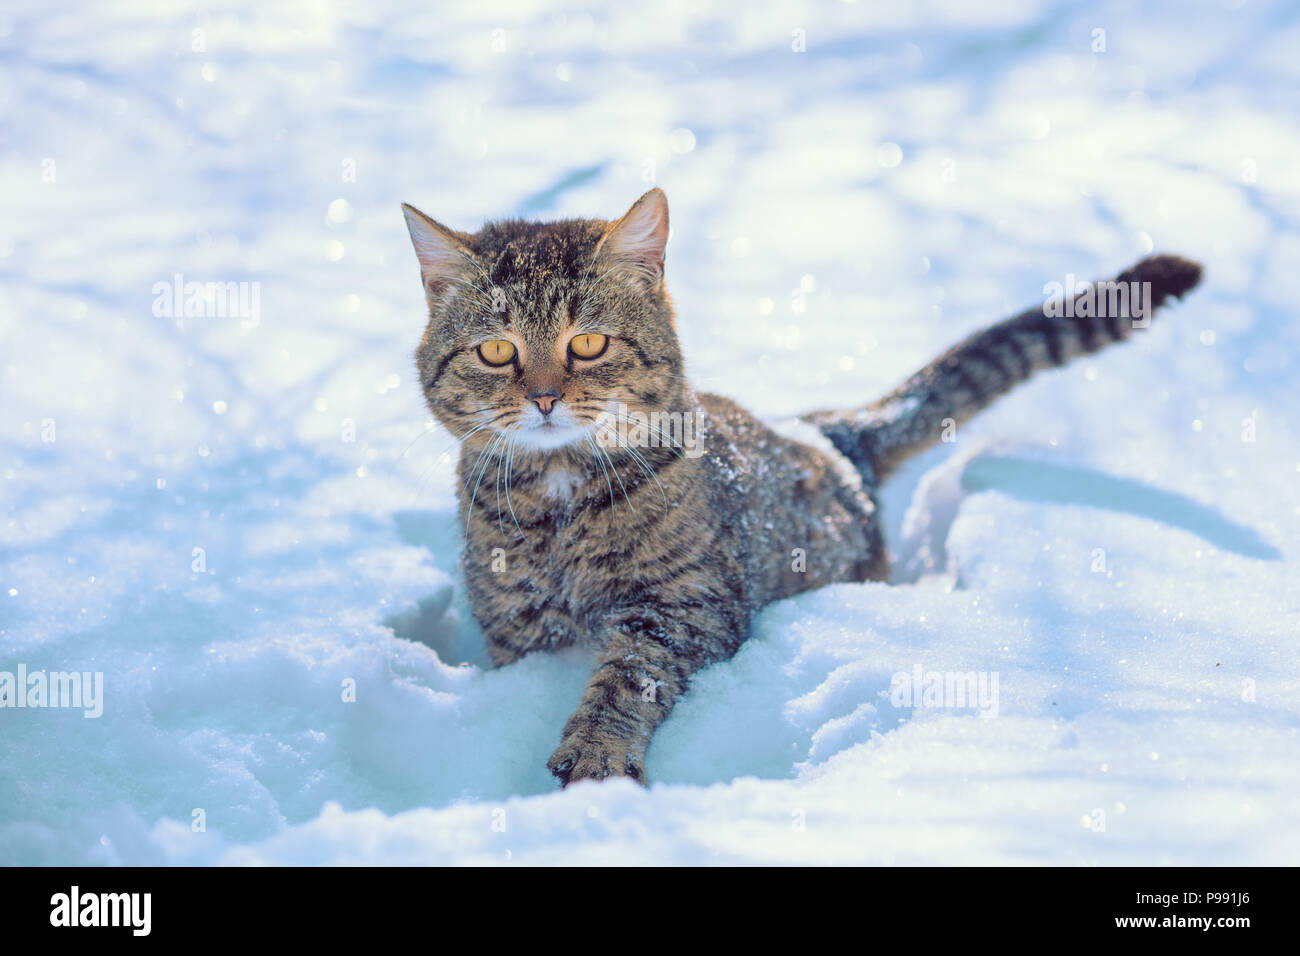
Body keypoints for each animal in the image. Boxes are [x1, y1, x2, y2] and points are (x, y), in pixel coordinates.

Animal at [400, 191, 1201, 790]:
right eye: (496, 351)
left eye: (588, 343)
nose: (542, 398)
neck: (562, 497)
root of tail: (826, 431)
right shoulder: (518, 633)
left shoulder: (688, 603)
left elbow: (630, 675)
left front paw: (597, 750)